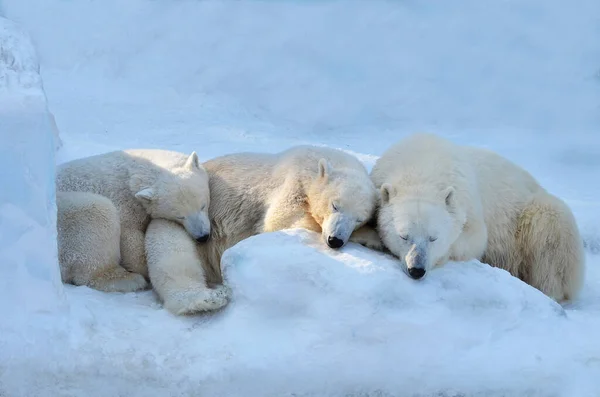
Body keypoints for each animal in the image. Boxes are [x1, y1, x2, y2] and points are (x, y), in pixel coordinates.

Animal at [145, 144, 378, 314]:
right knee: (171, 250)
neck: (318, 163)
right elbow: (281, 220)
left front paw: (371, 237)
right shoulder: (293, 182)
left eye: (359, 218)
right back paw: (208, 299)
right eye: (334, 205)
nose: (335, 240)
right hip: (183, 222)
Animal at [372, 133, 584, 300]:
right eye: (404, 236)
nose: (416, 270)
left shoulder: (466, 199)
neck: (421, 166)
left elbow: (475, 238)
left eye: (433, 238)